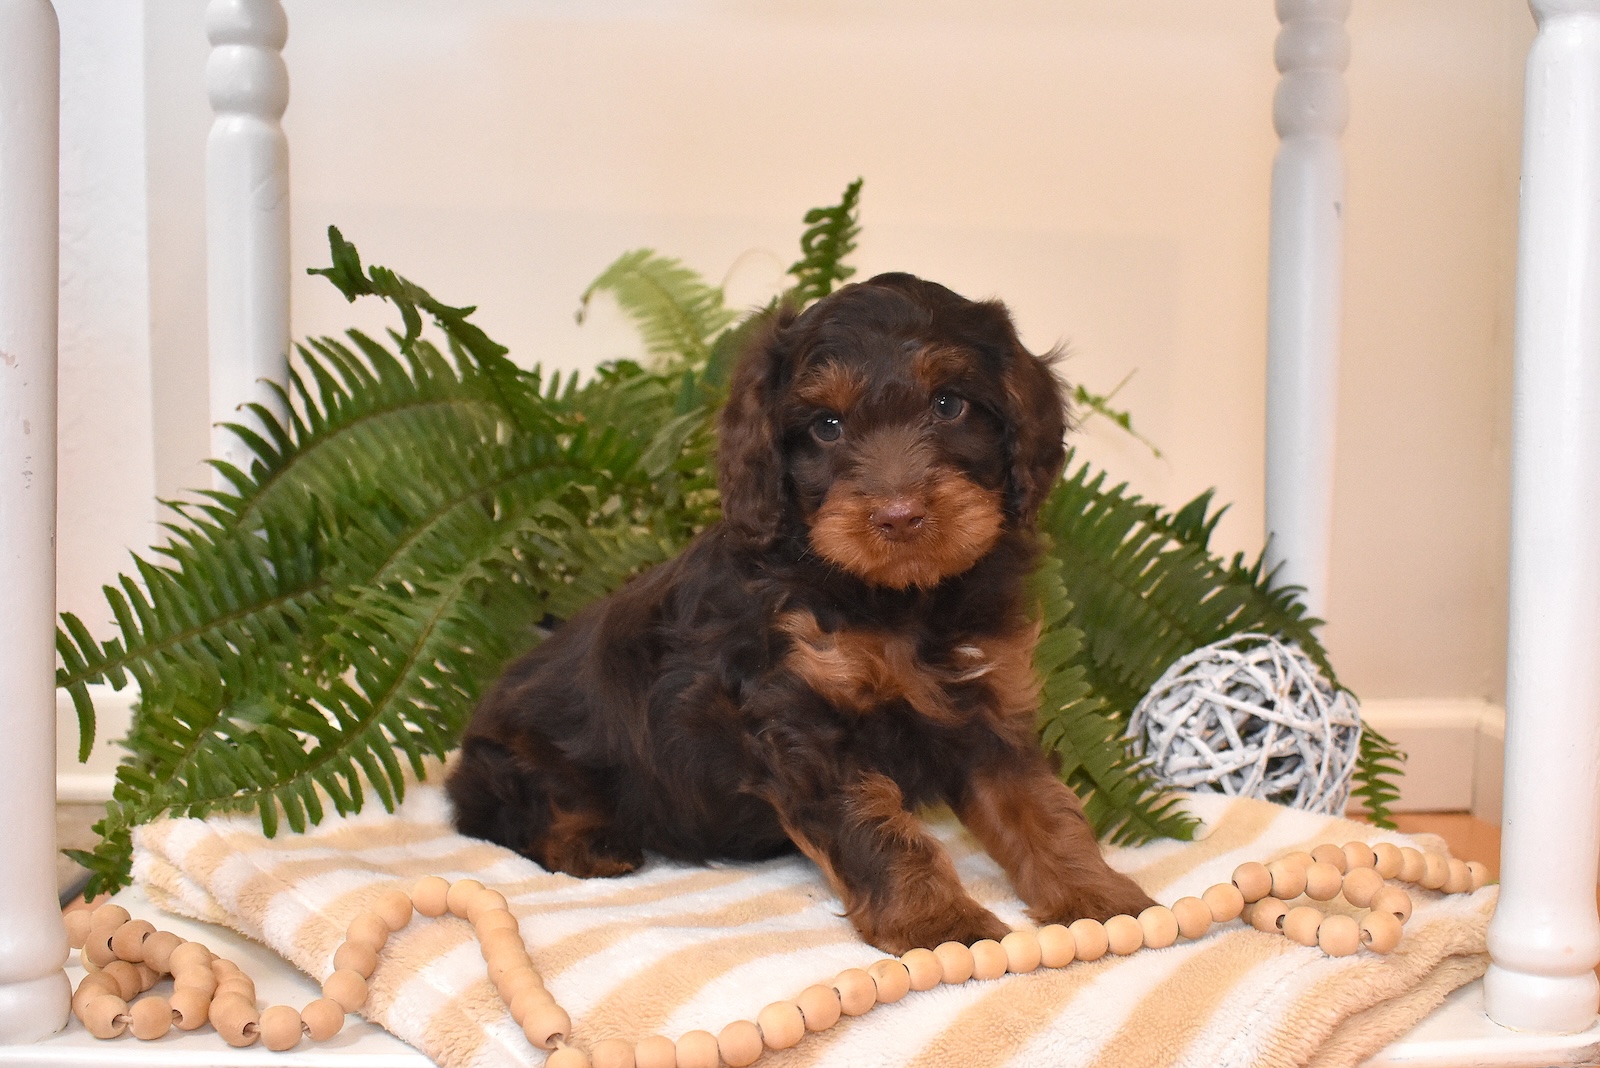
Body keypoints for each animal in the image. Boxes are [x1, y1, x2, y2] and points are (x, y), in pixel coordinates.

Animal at [446, 272, 1155, 953]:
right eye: (826, 427)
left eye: (949, 404)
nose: (899, 516)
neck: (899, 601)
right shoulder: (803, 720)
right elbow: (878, 827)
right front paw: (937, 922)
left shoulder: (987, 705)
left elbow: (1041, 805)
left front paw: (1100, 896)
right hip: (521, 763)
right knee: (514, 815)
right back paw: (591, 844)